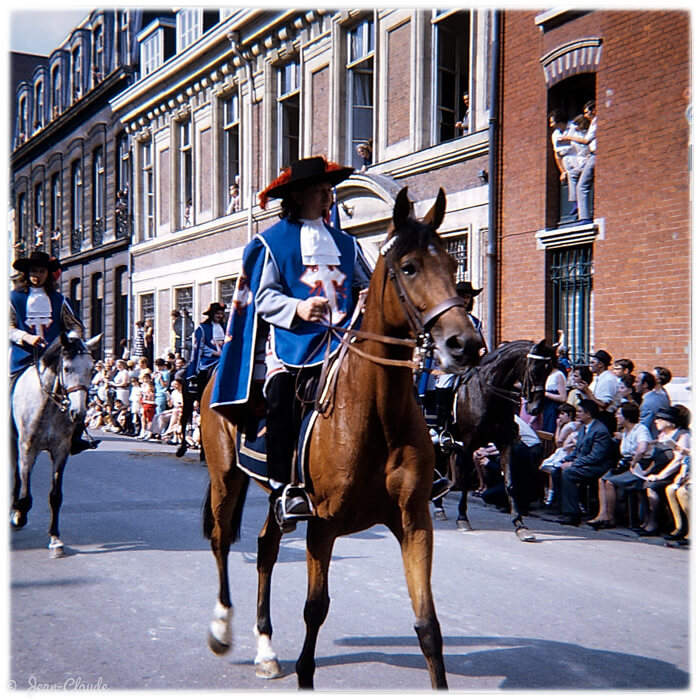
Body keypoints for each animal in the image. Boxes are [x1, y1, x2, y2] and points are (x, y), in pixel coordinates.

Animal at [10, 334, 98, 556]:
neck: (48, 405)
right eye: (66, 368)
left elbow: (55, 496)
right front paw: (20, 515)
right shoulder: (27, 449)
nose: (79, 413)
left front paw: (55, 539)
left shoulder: (61, 451)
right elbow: (26, 496)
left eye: (92, 369)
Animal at [200, 187, 484, 688]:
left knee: (266, 547)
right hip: (225, 477)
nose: (464, 344)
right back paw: (221, 627)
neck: (378, 415)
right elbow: (316, 609)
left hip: (275, 497)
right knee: (220, 540)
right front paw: (304, 673)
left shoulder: (414, 522)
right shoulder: (324, 524)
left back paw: (265, 649)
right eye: (409, 267)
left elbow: (428, 626)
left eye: (453, 264)